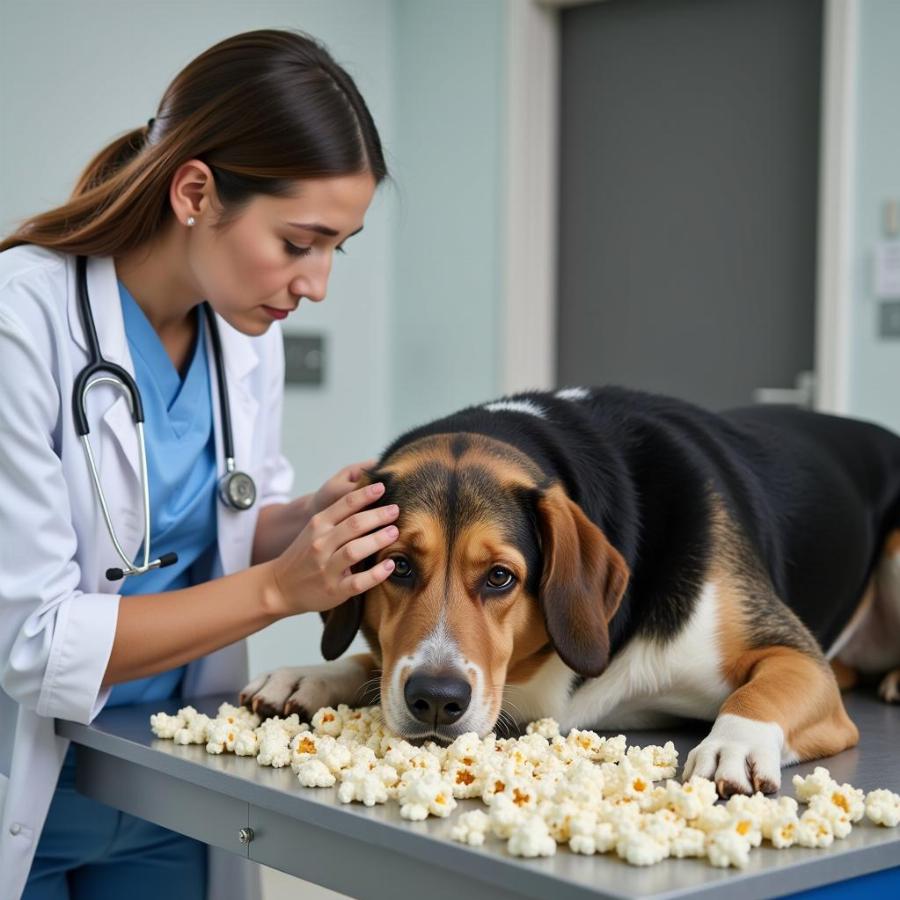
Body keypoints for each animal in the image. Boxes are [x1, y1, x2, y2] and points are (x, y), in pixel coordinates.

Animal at [239, 386, 900, 796]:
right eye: (398, 566)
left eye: (500, 577)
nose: (435, 700)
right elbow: (372, 662)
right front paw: (308, 676)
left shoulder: (795, 656)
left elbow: (762, 690)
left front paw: (733, 746)